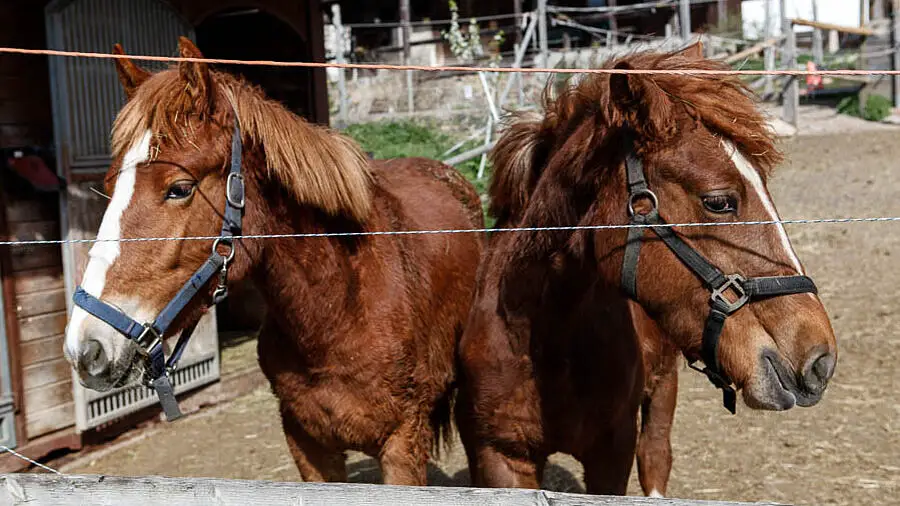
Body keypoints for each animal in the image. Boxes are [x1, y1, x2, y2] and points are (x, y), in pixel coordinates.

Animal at [62, 37, 486, 484]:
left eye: (179, 188)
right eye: (110, 185)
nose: (85, 347)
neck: (339, 312)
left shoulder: (403, 446)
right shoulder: (307, 446)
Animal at [460, 45, 840, 496]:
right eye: (719, 201)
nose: (820, 359)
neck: (542, 342)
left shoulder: (612, 453)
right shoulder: (500, 456)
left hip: (663, 386)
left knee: (656, 454)